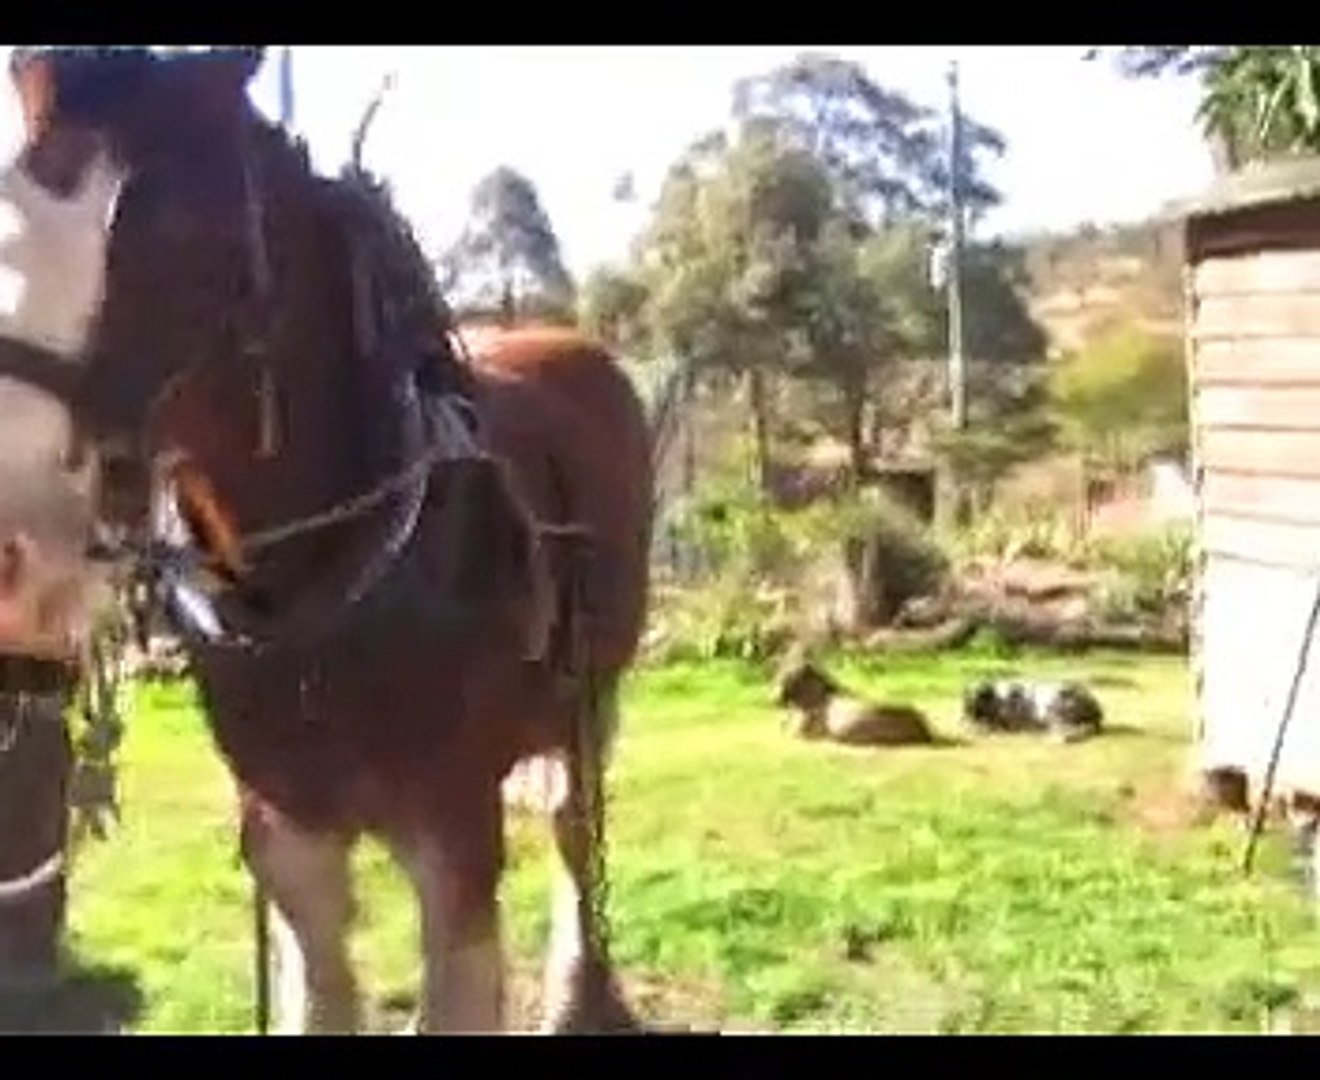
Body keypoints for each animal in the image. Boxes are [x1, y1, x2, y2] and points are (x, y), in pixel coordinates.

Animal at [0, 46, 654, 1029]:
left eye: (187, 230)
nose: (16, 552)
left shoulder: (453, 835)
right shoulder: (288, 833)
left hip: (595, 696)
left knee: (577, 826)